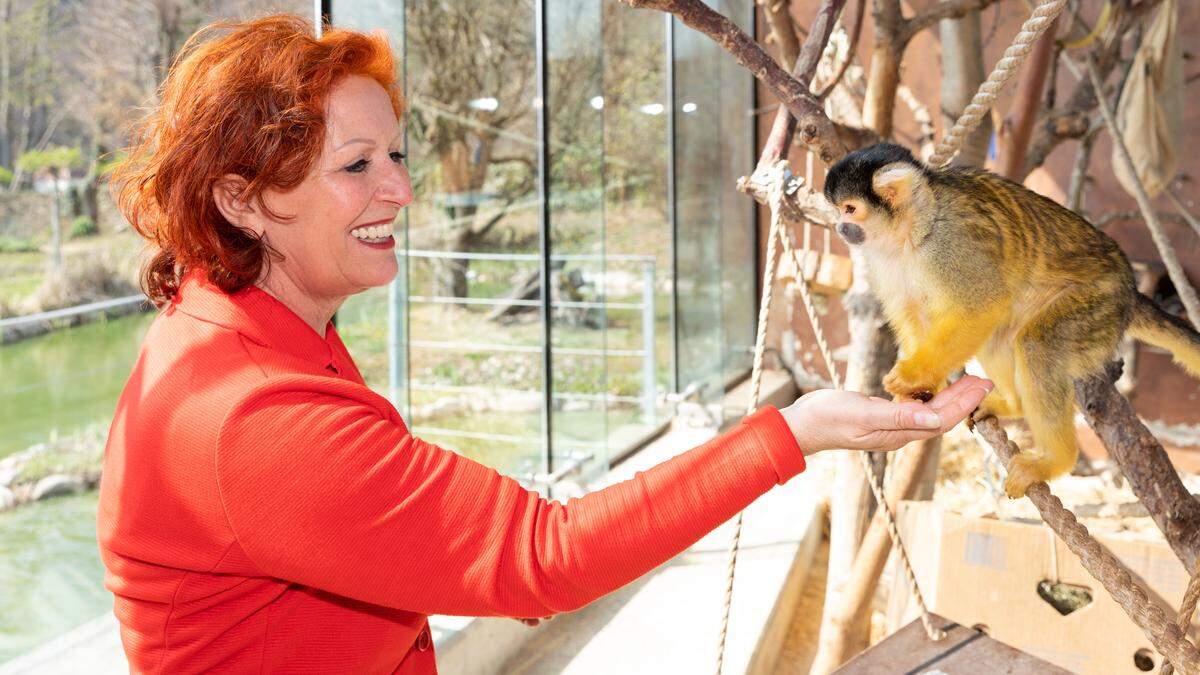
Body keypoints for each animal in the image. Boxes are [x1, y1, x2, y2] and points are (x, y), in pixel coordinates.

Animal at [820, 140, 1200, 494]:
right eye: (838, 210)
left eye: (850, 209)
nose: (840, 227)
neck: (913, 229)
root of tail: (1129, 289)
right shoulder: (882, 259)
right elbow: (914, 313)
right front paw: (920, 390)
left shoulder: (952, 244)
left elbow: (983, 303)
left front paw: (912, 375)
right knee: (1000, 337)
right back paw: (1014, 405)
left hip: (1099, 303)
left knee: (1039, 344)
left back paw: (1055, 460)